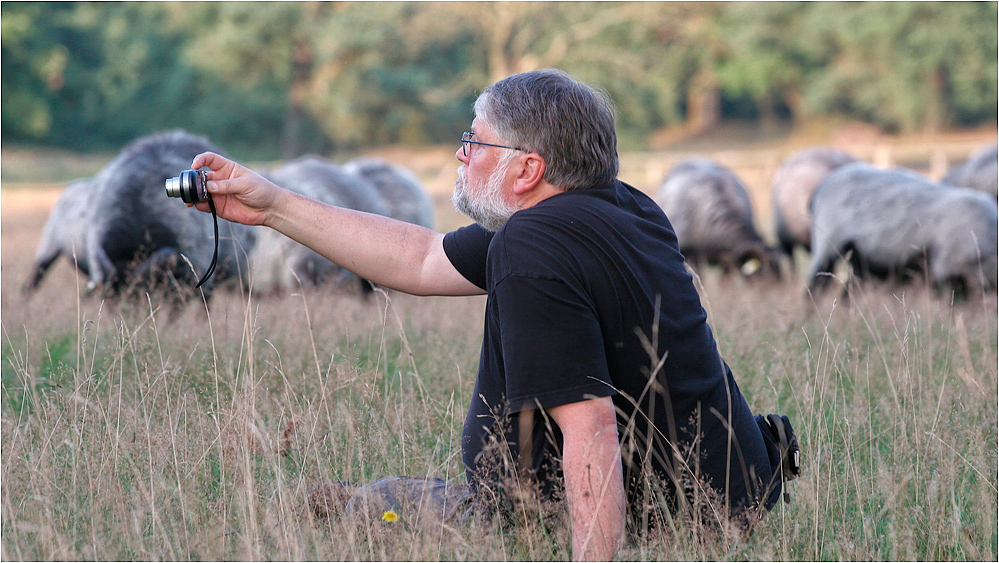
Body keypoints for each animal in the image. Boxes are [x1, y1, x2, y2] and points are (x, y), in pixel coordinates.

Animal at [808, 161, 996, 298]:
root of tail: (821, 187)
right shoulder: (946, 266)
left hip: (859, 256)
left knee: (849, 292)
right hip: (827, 241)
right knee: (814, 286)